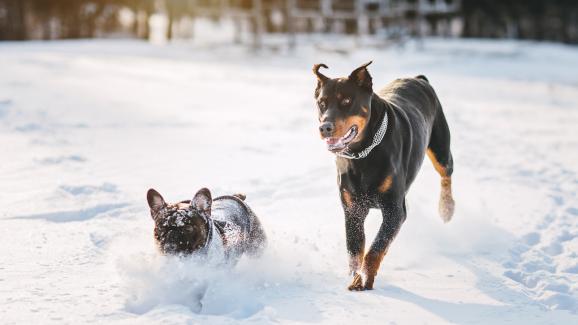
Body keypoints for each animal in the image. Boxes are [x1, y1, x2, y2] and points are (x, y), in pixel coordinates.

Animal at [312, 62, 452, 290]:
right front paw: (354, 276)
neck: (362, 154)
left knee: (446, 173)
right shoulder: (353, 209)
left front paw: (363, 280)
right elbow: (354, 251)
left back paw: (447, 208)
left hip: (440, 146)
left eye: (347, 101)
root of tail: (418, 78)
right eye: (322, 103)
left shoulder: (394, 210)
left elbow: (376, 247)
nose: (325, 127)